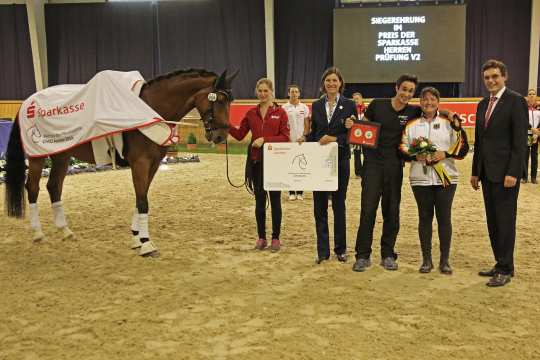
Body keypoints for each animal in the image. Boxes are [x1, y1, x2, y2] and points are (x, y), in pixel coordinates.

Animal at [4, 69, 236, 258]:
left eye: (229, 101)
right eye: (218, 100)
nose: (221, 136)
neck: (148, 108)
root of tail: (27, 103)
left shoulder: (153, 164)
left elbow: (141, 197)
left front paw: (136, 238)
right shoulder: (140, 163)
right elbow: (143, 201)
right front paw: (146, 244)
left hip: (62, 154)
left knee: (54, 186)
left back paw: (66, 231)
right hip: (37, 157)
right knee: (32, 188)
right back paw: (38, 234)